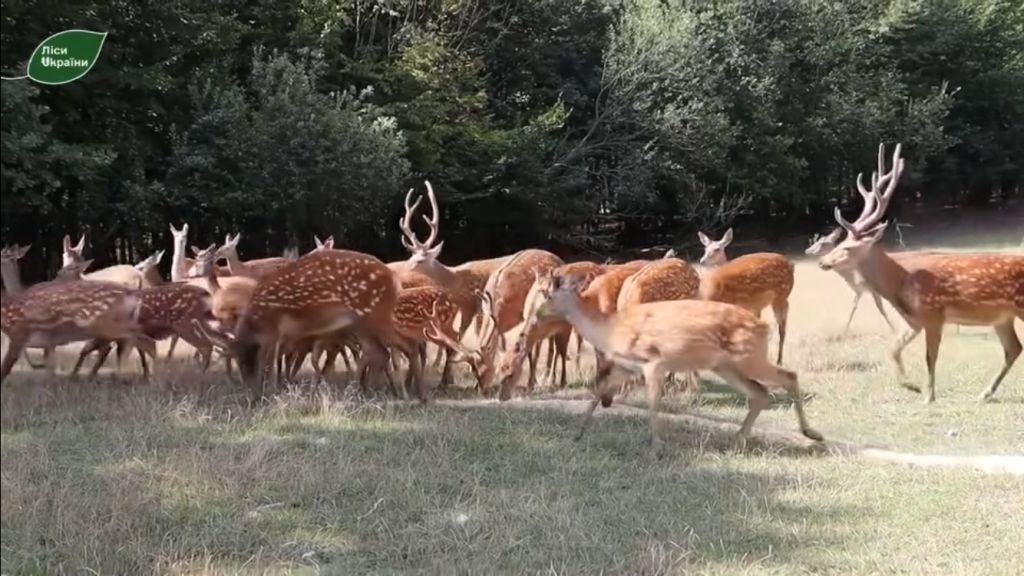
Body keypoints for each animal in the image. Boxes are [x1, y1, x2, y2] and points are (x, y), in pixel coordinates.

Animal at [524, 268, 819, 453]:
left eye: (547, 293)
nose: (535, 314)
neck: (611, 329)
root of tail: (762, 326)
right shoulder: (625, 365)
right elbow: (597, 394)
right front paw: (576, 434)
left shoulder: (653, 362)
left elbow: (653, 403)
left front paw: (657, 446)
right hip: (726, 365)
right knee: (760, 392)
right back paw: (737, 441)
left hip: (750, 356)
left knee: (788, 376)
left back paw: (812, 434)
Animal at [696, 226, 790, 360]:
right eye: (705, 248)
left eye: (717, 249)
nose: (702, 261)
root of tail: (790, 263)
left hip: (782, 296)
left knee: (782, 328)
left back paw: (779, 361)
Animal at [815, 141, 1024, 401]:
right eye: (840, 242)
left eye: (847, 247)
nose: (823, 262)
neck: (901, 283)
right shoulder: (914, 320)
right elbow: (893, 348)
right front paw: (910, 385)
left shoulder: (934, 313)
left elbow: (930, 357)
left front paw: (928, 395)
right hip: (1002, 318)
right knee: (1013, 348)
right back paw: (985, 393)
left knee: (1013, 348)